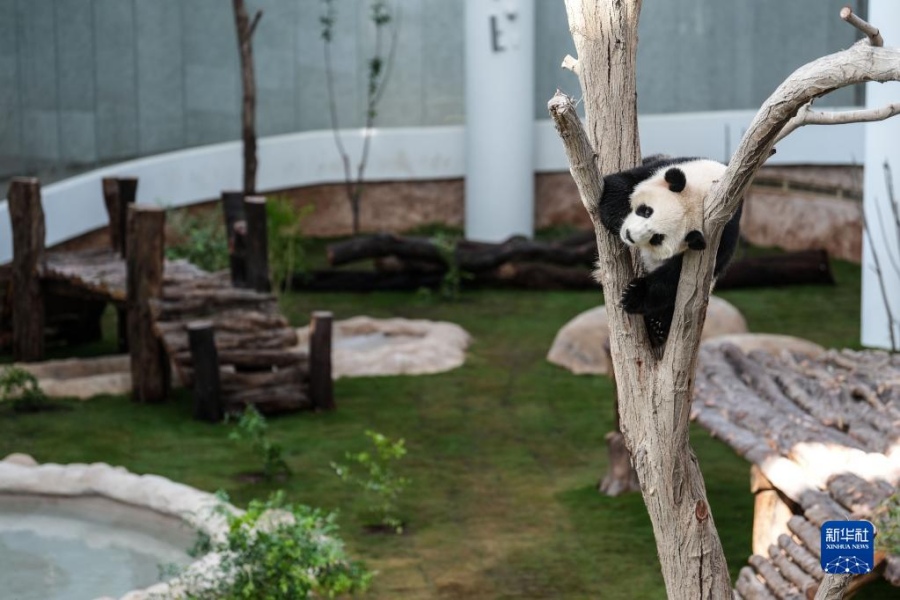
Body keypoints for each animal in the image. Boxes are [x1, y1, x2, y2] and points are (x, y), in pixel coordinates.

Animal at [596, 156, 744, 346]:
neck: (705, 189)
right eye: (646, 211)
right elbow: (620, 182)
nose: (628, 235)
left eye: (657, 238)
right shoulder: (660, 167)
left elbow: (675, 276)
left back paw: (657, 327)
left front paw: (633, 295)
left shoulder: (720, 237)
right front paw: (614, 219)